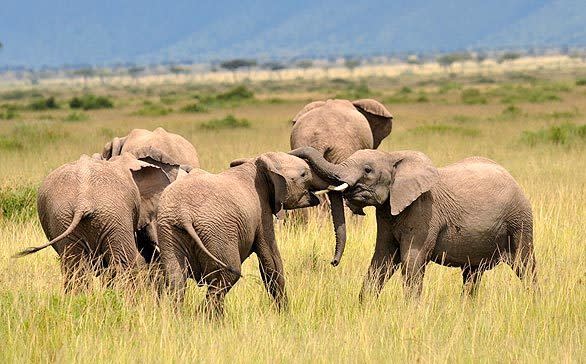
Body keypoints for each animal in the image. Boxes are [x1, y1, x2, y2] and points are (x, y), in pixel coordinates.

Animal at [155, 151, 338, 316]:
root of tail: (184, 214)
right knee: (227, 276)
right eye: (304, 174)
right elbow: (271, 262)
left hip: (169, 231)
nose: (333, 262)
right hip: (217, 232)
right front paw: (286, 317)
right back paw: (204, 319)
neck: (257, 162)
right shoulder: (262, 210)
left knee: (176, 280)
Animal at [290, 146, 536, 300]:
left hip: (520, 219)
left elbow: (411, 259)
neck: (393, 156)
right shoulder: (387, 212)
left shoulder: (424, 211)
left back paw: (534, 303)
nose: (332, 262)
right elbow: (382, 258)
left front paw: (411, 311)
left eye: (368, 170)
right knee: (472, 275)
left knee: (525, 265)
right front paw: (363, 307)